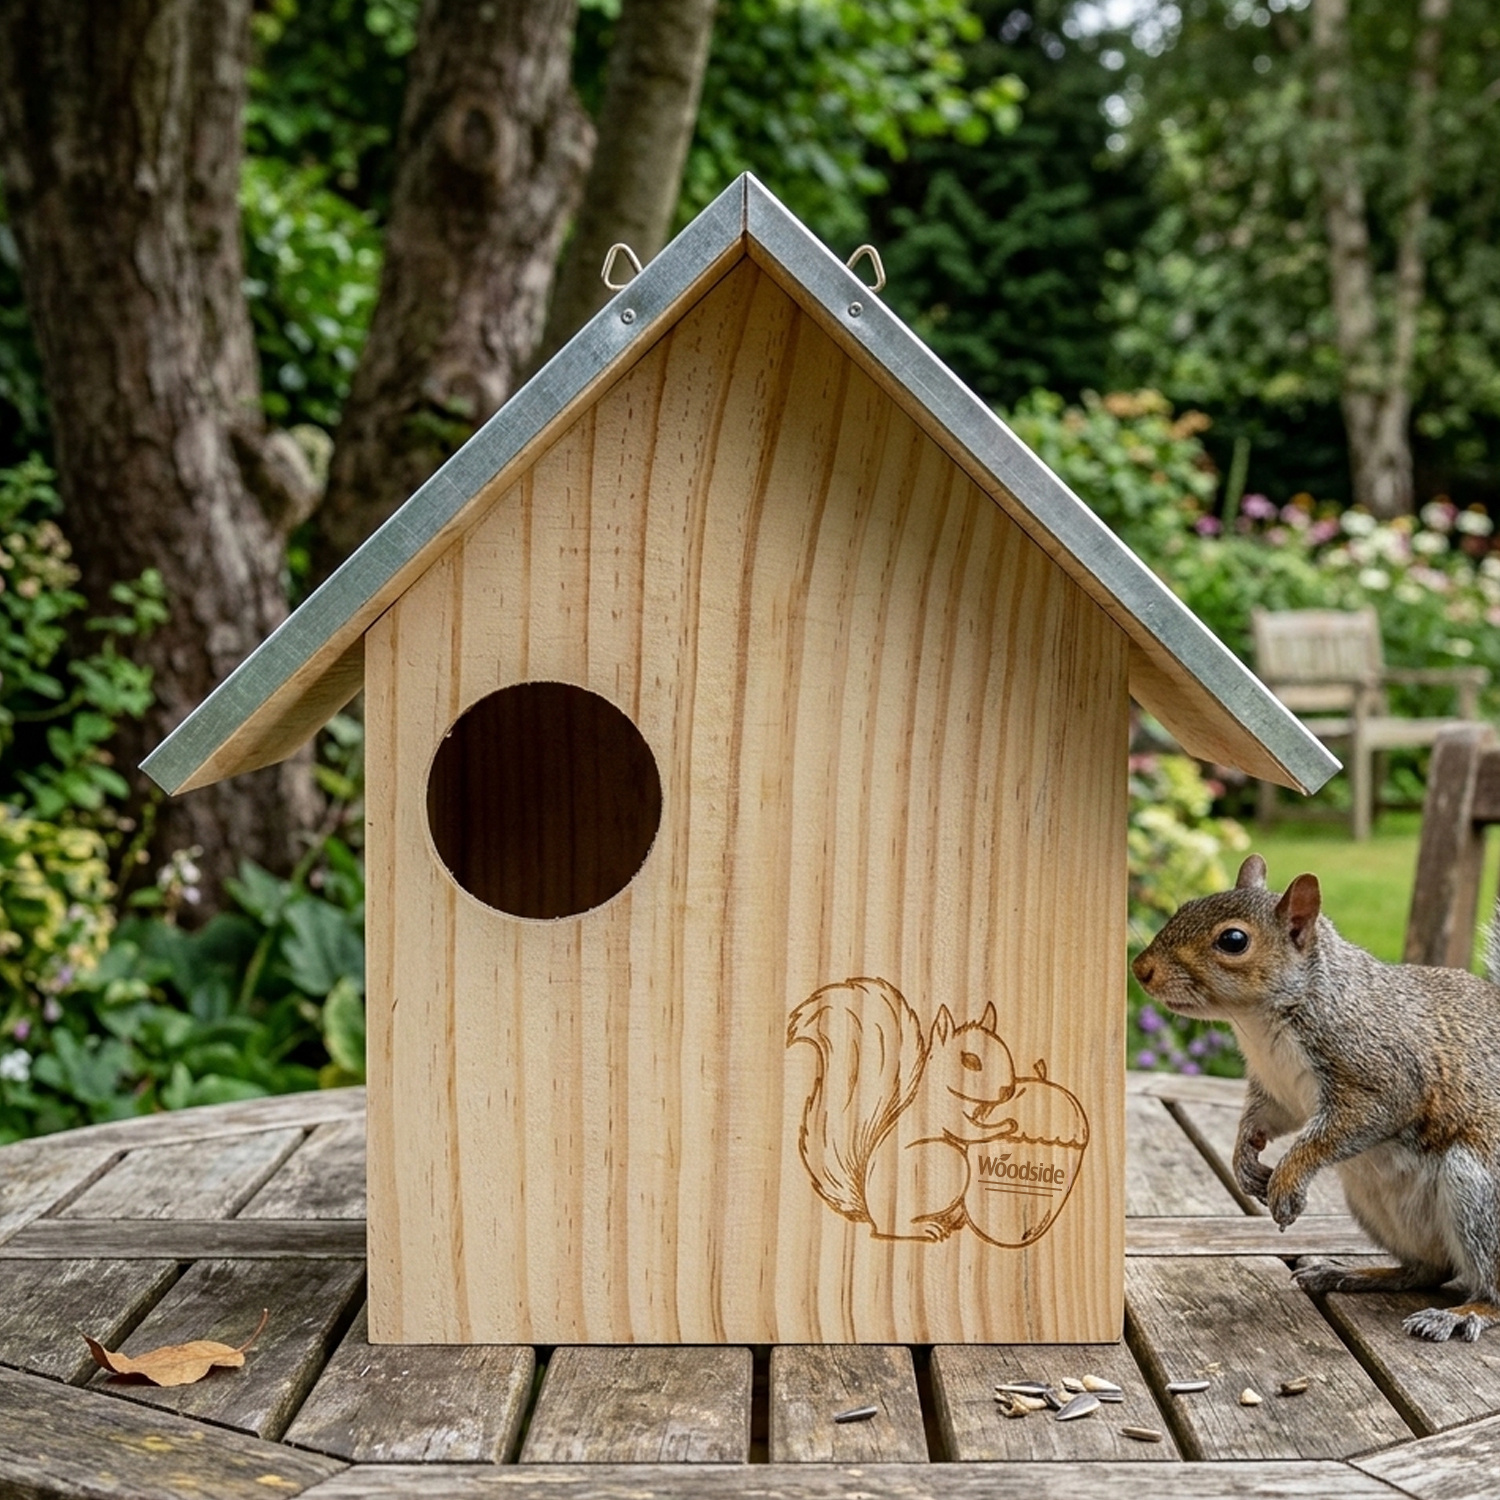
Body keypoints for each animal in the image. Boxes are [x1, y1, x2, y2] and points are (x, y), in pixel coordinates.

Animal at [786, 978, 1018, 1241]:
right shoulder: (946, 1114)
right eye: (970, 1061)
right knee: (894, 1228)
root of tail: (872, 1215)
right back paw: (925, 1228)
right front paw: (1006, 1125)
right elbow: (969, 1130)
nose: (1007, 1090)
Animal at [1132, 853, 1500, 1343]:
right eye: (1186, 906)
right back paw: (1355, 1274)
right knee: (1429, 1270)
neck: (1261, 1024)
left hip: (1478, 1192)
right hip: (1374, 1204)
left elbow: (1337, 1130)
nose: (1140, 969)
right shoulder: (1277, 1092)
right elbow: (1262, 1120)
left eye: (1233, 940)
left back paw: (1463, 1312)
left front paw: (1287, 1178)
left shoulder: (1382, 1076)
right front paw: (1243, 1161)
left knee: (1489, 1286)